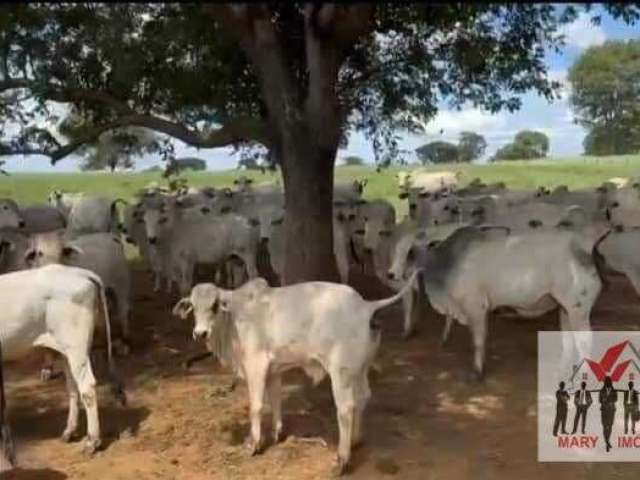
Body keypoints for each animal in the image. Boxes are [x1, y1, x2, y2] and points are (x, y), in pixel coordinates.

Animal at [172, 270, 418, 476]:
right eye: (193, 306)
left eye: (214, 305)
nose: (200, 333)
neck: (235, 317)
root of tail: (365, 306)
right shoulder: (274, 370)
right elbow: (276, 401)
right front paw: (278, 434)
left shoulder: (256, 365)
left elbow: (256, 407)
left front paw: (254, 444)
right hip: (360, 369)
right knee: (363, 397)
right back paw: (356, 441)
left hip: (341, 372)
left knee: (346, 408)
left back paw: (342, 460)